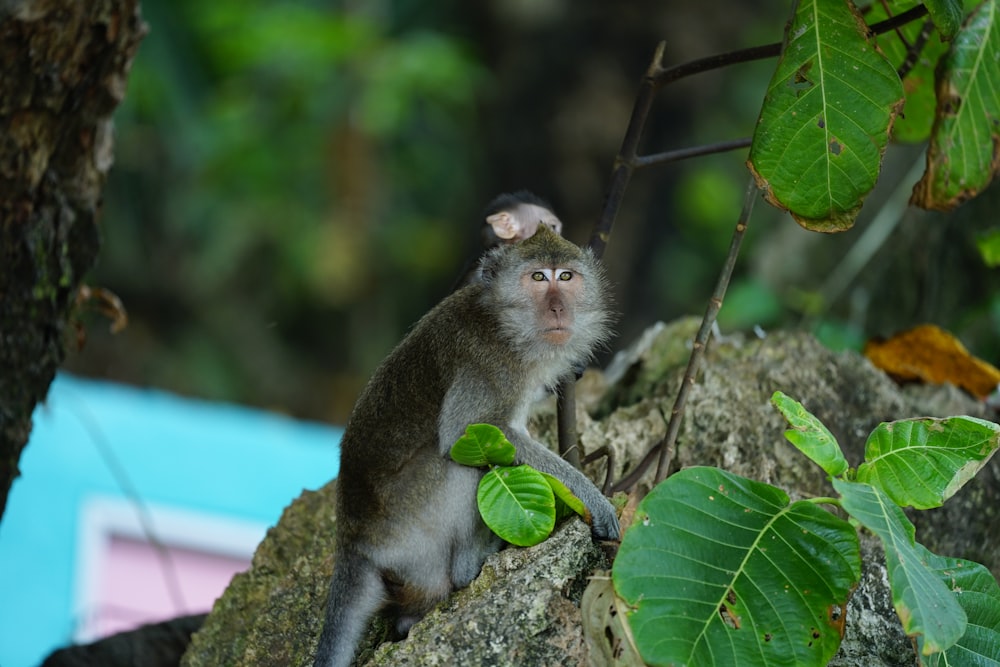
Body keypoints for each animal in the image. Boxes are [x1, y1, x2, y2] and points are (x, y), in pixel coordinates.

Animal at [316, 226, 620, 667]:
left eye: (566, 277)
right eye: (538, 278)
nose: (559, 309)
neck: (506, 326)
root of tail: (353, 544)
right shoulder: (488, 367)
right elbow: (470, 431)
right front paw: (592, 496)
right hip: (409, 528)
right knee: (457, 463)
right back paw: (471, 564)